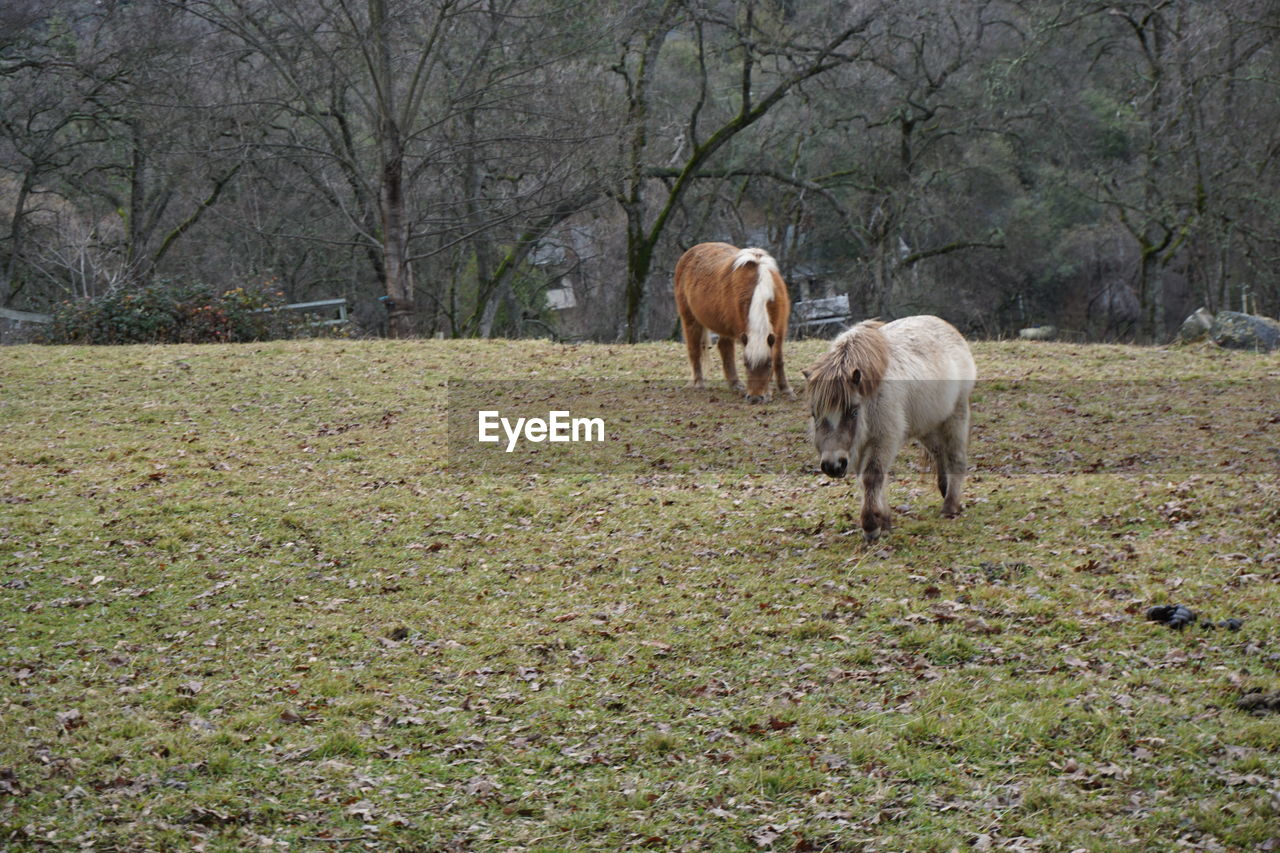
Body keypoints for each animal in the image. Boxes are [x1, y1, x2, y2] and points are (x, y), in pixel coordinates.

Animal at [670, 240, 788, 404]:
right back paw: (699, 383)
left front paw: (785, 389)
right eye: (745, 364)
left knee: (723, 347)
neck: (760, 286)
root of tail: (690, 252)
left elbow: (778, 359)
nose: (755, 398)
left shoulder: (780, 331)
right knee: (694, 350)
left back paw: (735, 383)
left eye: (768, 364)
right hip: (690, 319)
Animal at [803, 315, 972, 540]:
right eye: (815, 414)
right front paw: (884, 521)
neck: (870, 397)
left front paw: (871, 526)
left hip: (956, 415)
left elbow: (872, 477)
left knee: (955, 457)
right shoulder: (858, 447)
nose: (833, 466)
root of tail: (949, 329)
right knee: (939, 452)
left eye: (853, 412)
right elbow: (867, 480)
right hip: (926, 426)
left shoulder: (882, 439)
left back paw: (950, 506)